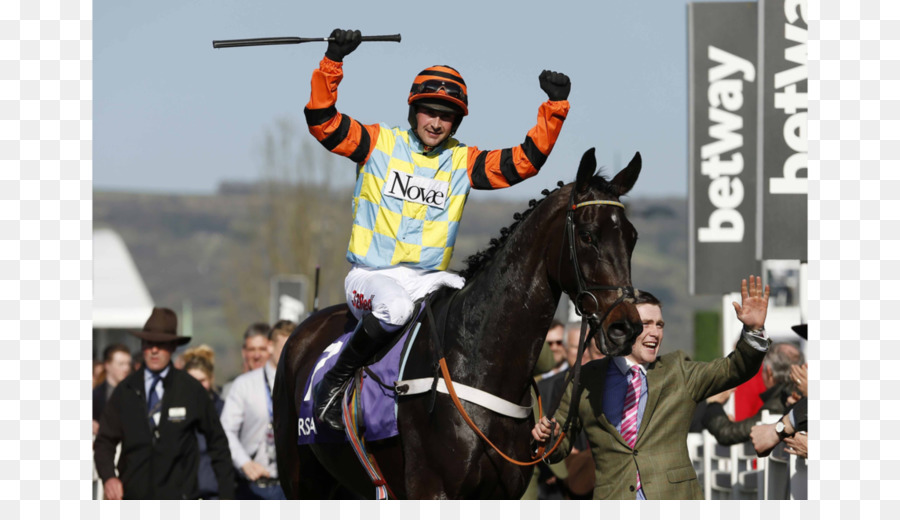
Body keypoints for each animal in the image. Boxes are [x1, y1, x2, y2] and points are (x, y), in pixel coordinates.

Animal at [276, 147, 648, 500]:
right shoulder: (431, 488)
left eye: (632, 237)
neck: (478, 360)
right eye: (587, 235)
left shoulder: (503, 493)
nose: (626, 327)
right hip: (300, 478)